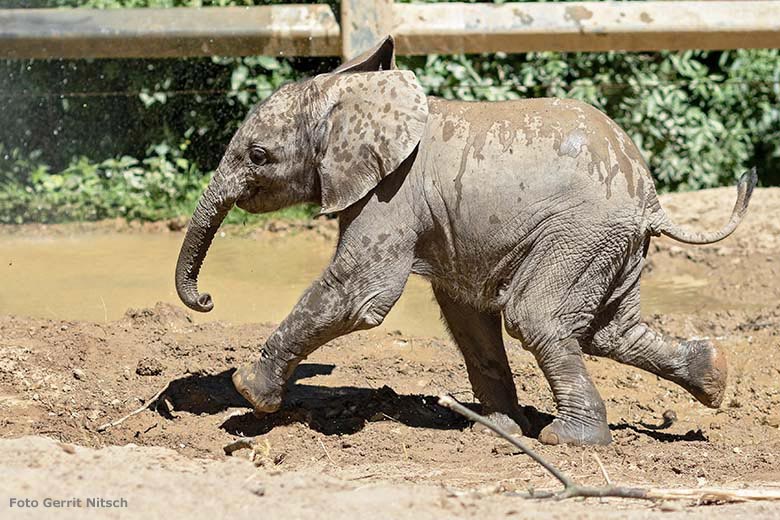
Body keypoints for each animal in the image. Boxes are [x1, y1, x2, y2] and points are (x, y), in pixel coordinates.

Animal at [175, 36, 756, 444]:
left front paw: (246, 389)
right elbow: (465, 313)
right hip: (609, 245)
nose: (206, 299)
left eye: (257, 156)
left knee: (538, 317)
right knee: (609, 332)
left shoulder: (391, 193)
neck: (352, 100)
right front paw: (497, 428)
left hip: (582, 232)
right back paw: (715, 376)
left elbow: (359, 294)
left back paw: (571, 439)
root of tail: (652, 199)